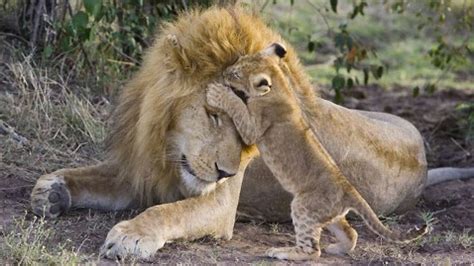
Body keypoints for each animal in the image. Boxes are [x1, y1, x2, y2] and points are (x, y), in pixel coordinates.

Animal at [30, 6, 474, 260]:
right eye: (213, 116)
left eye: (245, 134)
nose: (225, 172)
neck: (168, 142)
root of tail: (424, 160)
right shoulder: (146, 169)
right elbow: (88, 175)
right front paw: (50, 191)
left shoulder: (218, 203)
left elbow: (167, 211)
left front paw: (131, 236)